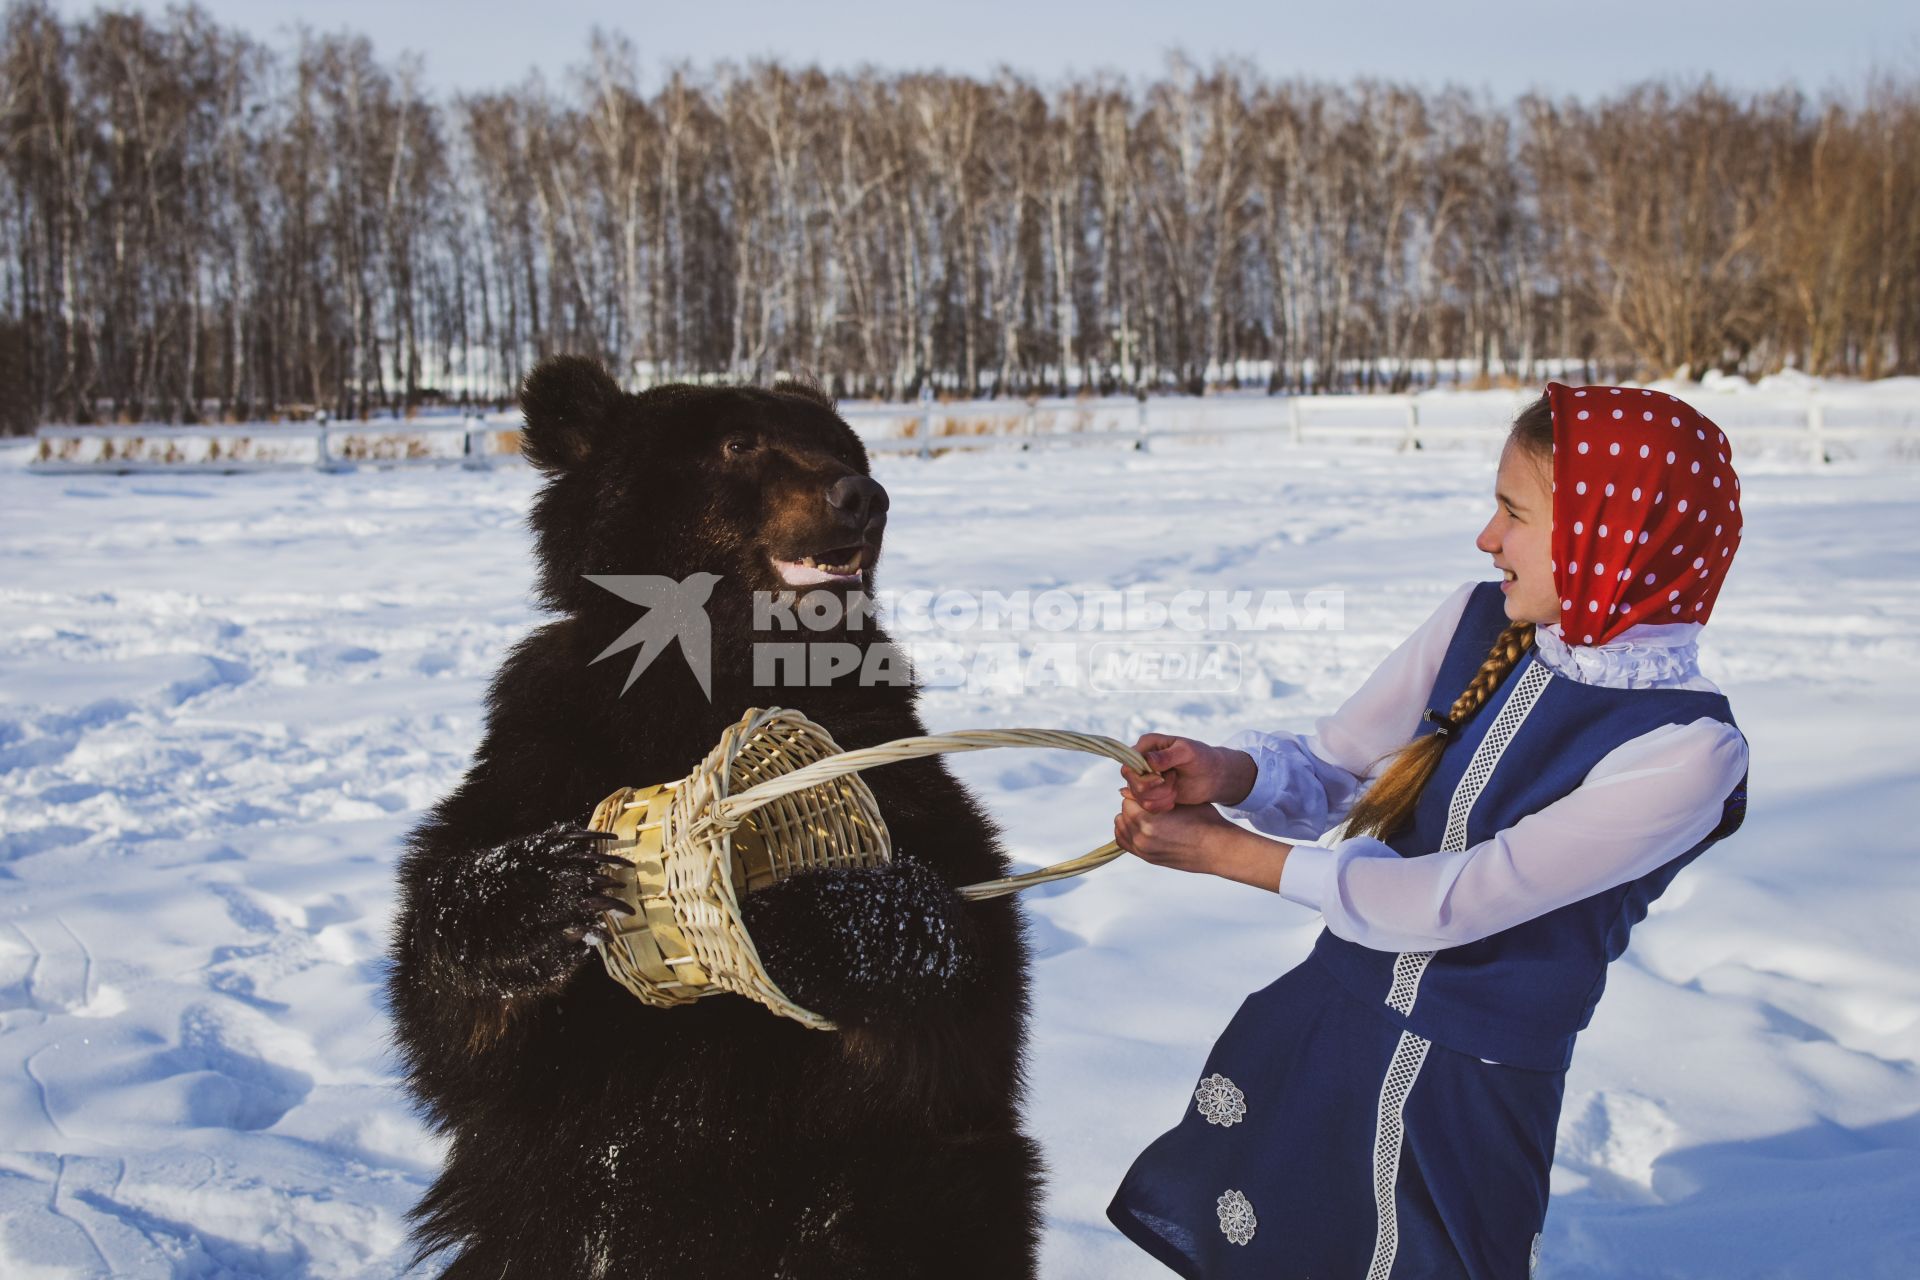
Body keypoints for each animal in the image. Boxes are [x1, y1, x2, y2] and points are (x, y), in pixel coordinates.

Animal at [385, 355, 1036, 1274]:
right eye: (737, 443)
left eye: (841, 443)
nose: (862, 496)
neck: (718, 675)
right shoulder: (546, 746)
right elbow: (449, 1004)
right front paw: (543, 887)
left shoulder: (889, 757)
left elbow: (965, 985)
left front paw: (805, 918)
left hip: (908, 1204)